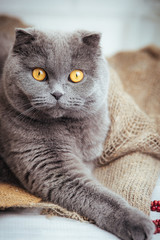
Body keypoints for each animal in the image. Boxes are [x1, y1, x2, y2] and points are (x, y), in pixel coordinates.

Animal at [0, 27, 155, 238]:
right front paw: (137, 222)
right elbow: (99, 196)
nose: (57, 94)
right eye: (38, 73)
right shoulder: (50, 165)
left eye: (76, 76)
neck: (69, 129)